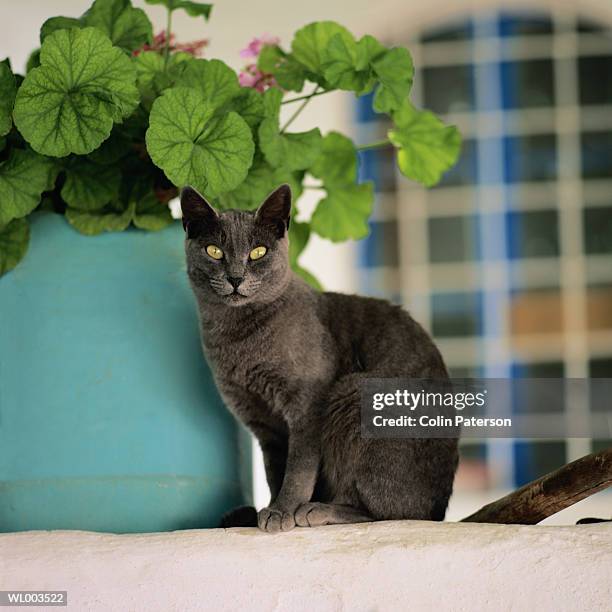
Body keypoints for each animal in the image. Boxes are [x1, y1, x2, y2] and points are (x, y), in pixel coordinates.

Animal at [182, 184, 460, 532]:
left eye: (258, 252)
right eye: (214, 251)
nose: (235, 277)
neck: (236, 338)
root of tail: (441, 510)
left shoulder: (307, 406)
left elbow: (299, 468)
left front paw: (283, 511)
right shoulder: (265, 425)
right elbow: (276, 472)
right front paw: (272, 507)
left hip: (354, 391)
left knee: (388, 512)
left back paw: (317, 510)